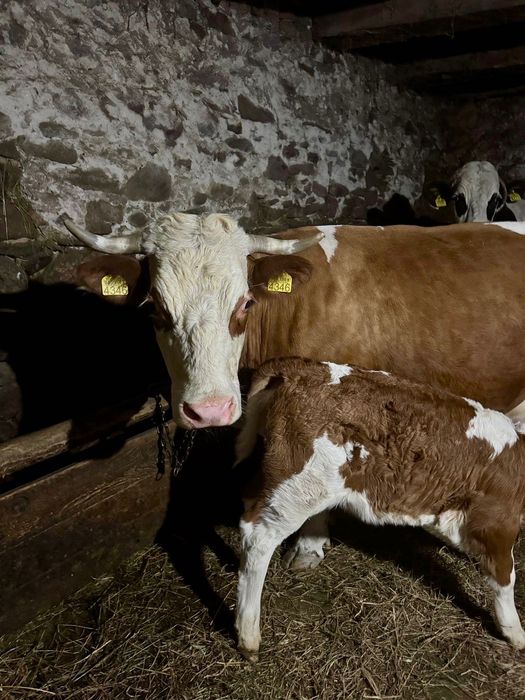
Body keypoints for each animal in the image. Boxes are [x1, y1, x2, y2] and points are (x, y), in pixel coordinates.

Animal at [234, 357, 525, 661]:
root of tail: (298, 366)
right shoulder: (498, 521)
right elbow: (506, 577)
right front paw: (515, 632)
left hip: (279, 478)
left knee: (249, 501)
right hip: (300, 488)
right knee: (258, 539)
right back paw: (249, 634)